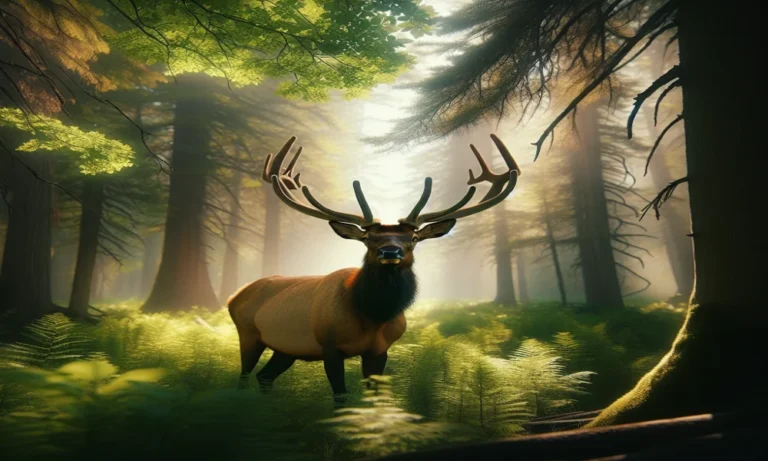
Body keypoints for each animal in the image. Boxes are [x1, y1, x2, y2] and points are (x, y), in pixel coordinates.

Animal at [227, 134, 520, 402]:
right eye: (368, 238)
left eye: (413, 238)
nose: (390, 251)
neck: (372, 316)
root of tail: (233, 296)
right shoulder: (329, 346)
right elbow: (341, 398)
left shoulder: (379, 350)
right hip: (248, 333)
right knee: (244, 377)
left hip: (287, 348)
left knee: (264, 376)